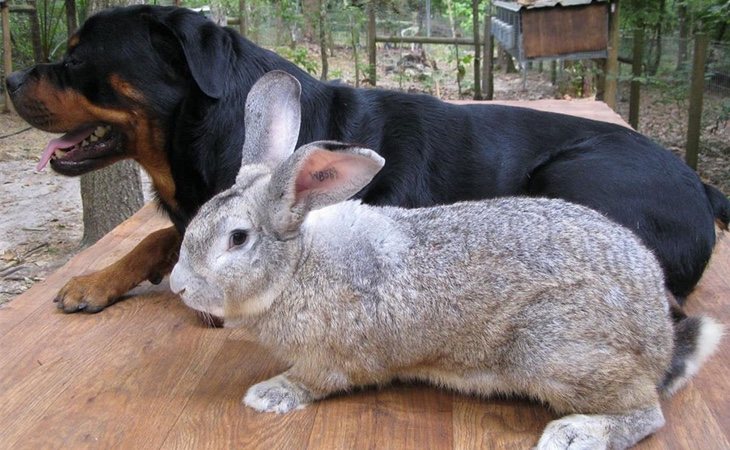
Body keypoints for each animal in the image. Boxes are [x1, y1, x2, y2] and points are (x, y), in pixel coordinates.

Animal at [7, 4, 728, 312]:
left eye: (77, 58)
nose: (10, 78)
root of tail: (701, 184)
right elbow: (159, 235)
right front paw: (99, 278)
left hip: (569, 175)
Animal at [168, 71, 720, 450]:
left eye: (237, 239)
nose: (178, 286)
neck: (298, 266)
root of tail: (659, 337)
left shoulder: (333, 360)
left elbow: (314, 380)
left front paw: (268, 394)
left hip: (556, 351)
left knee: (647, 413)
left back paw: (574, 434)